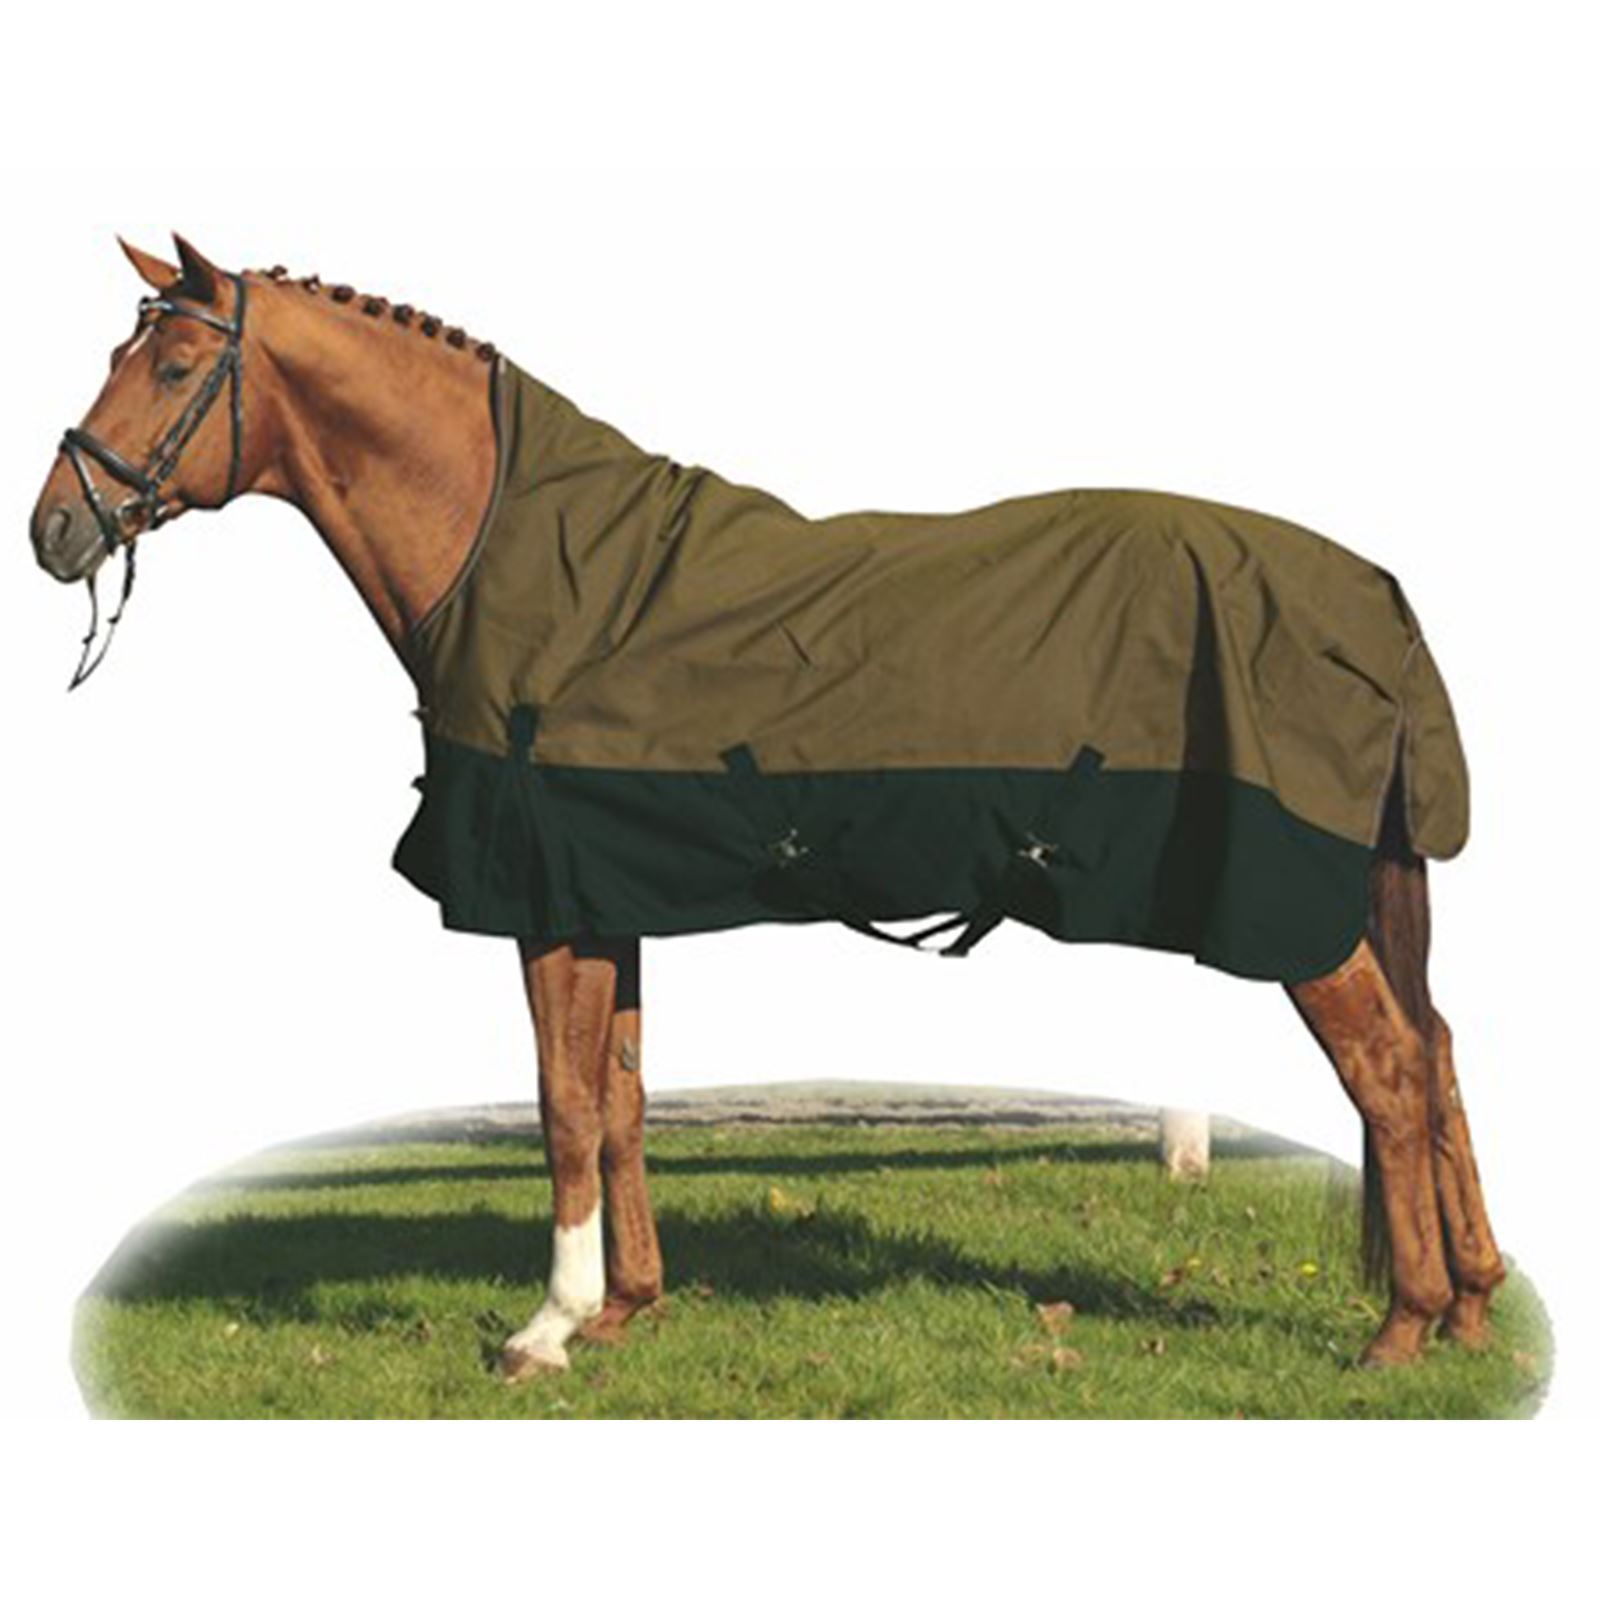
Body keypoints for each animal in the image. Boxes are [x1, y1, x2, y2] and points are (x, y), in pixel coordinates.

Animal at [30, 235, 1506, 1380]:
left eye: (173, 368)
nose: (54, 528)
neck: (525, 563)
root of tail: (1366, 590)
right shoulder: (605, 897)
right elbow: (619, 1098)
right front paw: (625, 1311)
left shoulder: (541, 900)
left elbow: (561, 1102)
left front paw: (546, 1329)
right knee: (1435, 1054)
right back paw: (1476, 1307)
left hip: (1289, 905)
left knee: (1388, 1069)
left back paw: (1400, 1327)